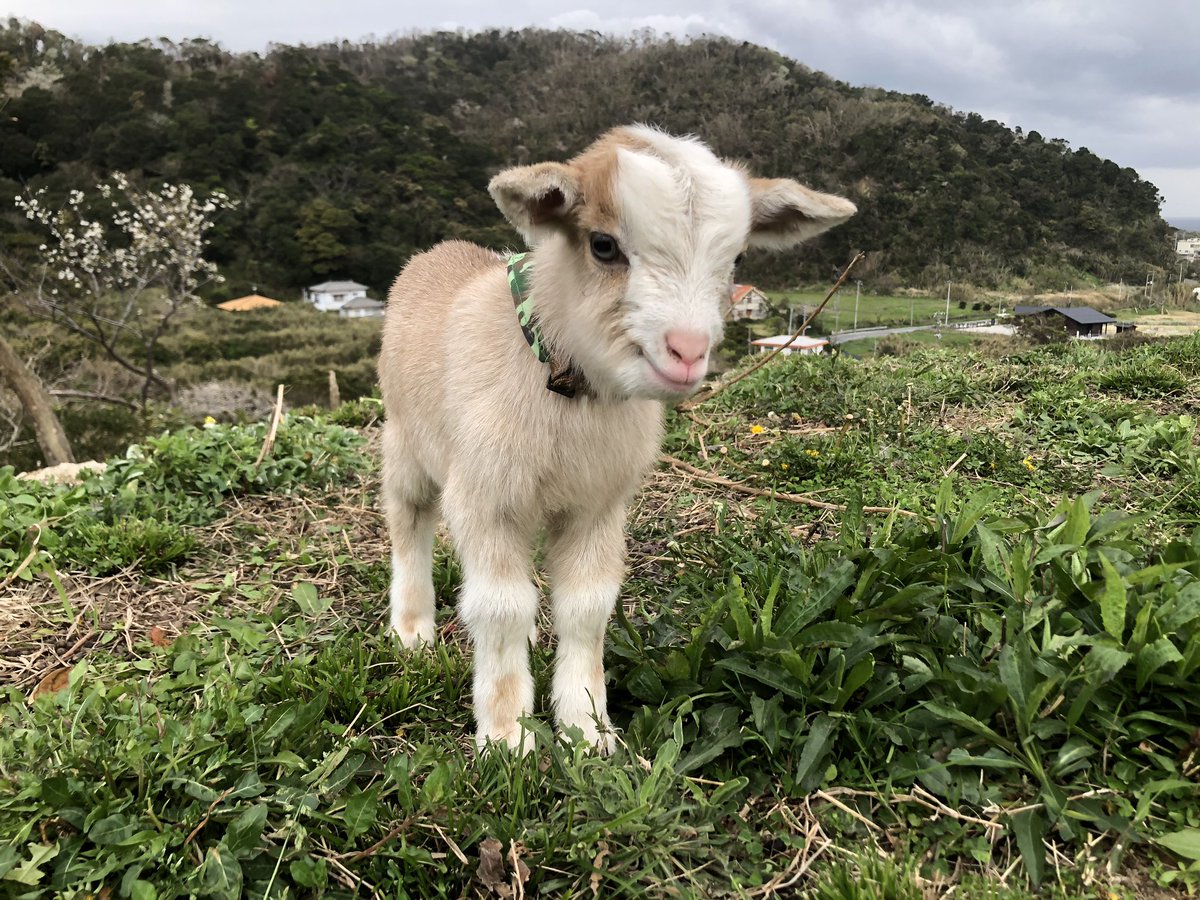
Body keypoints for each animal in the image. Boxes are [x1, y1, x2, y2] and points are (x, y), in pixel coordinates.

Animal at [379, 123, 859, 748]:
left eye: (736, 258)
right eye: (603, 246)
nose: (687, 352)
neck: (563, 380)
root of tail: (440, 251)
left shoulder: (599, 504)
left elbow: (586, 607)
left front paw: (587, 728)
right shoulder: (488, 498)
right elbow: (501, 608)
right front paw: (508, 737)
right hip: (405, 440)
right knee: (408, 520)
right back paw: (412, 627)